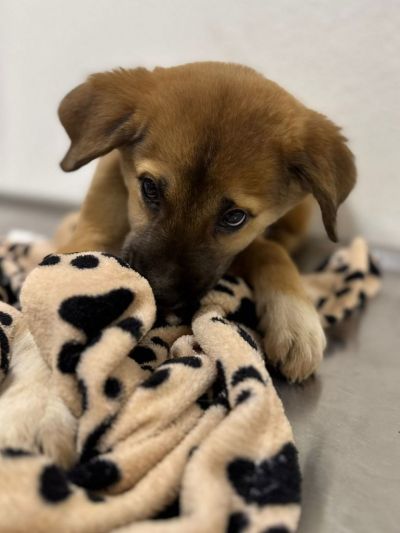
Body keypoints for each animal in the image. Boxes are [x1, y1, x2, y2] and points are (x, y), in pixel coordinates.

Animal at [57, 62, 356, 382]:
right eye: (149, 187)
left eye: (234, 218)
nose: (160, 297)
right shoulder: (92, 232)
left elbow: (269, 251)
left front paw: (296, 320)